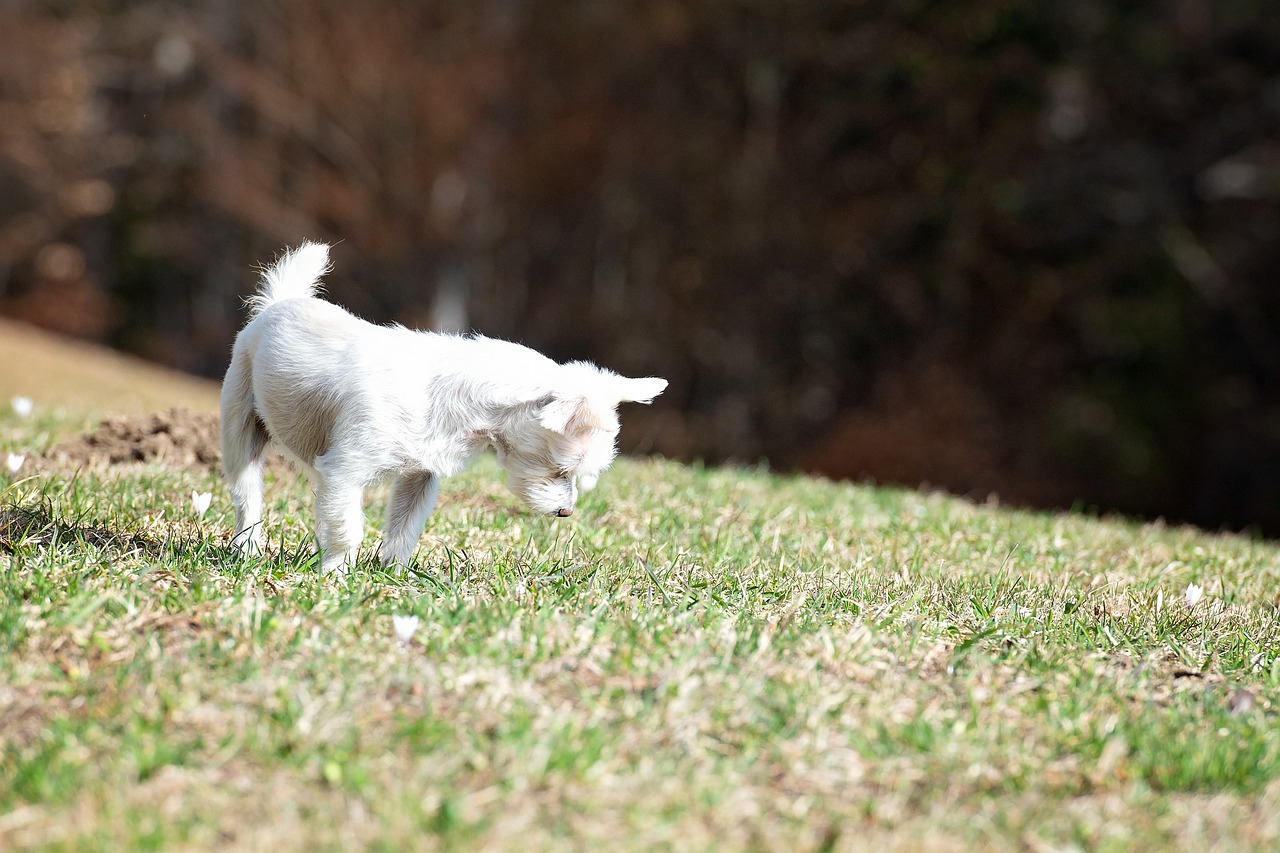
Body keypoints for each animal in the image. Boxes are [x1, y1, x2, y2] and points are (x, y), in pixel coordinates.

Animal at [220, 242, 665, 573]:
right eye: (561, 470)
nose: (566, 512)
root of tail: (278, 303)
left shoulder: (419, 476)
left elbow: (403, 529)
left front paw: (392, 576)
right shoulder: (345, 471)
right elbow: (348, 528)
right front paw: (336, 575)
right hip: (241, 432)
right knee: (248, 497)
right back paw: (248, 549)